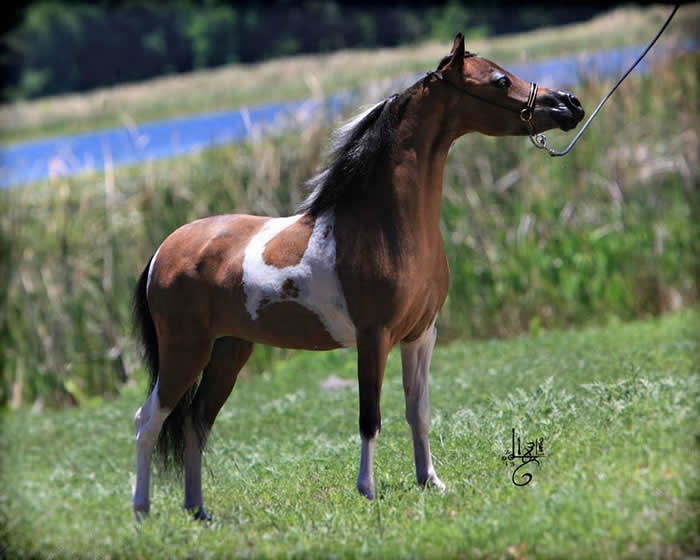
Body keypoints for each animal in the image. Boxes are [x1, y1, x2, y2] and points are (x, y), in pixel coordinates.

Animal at [132, 33, 584, 520]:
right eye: (501, 80)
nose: (570, 104)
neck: (384, 224)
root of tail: (163, 252)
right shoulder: (374, 337)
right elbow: (370, 416)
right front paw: (366, 489)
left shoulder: (421, 335)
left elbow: (418, 411)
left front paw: (430, 480)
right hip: (185, 351)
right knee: (148, 420)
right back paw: (142, 511)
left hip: (229, 352)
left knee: (196, 423)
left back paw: (198, 510)